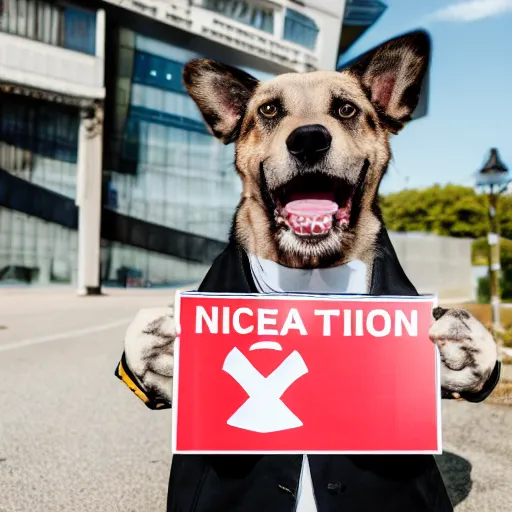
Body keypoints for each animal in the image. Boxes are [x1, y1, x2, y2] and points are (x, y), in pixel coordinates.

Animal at [115, 31, 500, 512]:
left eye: (346, 109)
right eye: (269, 111)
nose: (309, 139)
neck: (311, 274)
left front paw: (466, 346)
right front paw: (158, 341)